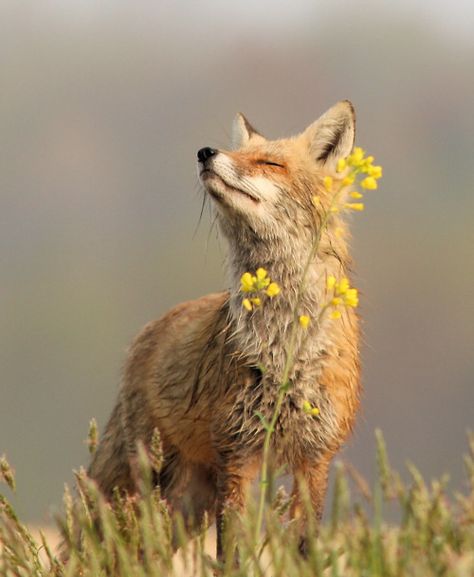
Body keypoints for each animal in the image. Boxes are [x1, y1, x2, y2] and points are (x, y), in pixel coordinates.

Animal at [88, 101, 360, 556]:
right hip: (159, 489)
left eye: (270, 163)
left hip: (189, 506)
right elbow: (231, 554)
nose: (206, 153)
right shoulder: (238, 451)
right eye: (240, 154)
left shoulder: (315, 456)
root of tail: (144, 334)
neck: (285, 350)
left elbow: (305, 547)